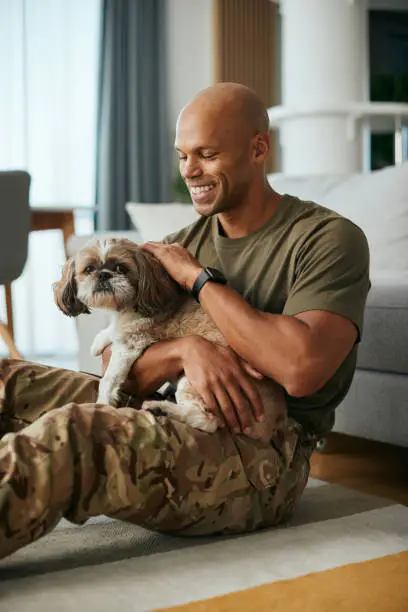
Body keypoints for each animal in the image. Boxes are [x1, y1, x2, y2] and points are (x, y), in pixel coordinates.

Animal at [54, 235, 286, 440]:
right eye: (89, 269)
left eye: (121, 268)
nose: (103, 275)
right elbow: (113, 330)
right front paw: (100, 339)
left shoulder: (131, 343)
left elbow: (110, 378)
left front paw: (102, 403)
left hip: (197, 382)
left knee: (206, 420)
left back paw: (161, 408)